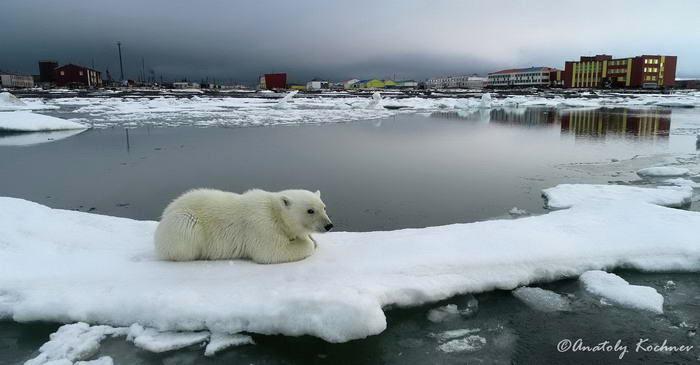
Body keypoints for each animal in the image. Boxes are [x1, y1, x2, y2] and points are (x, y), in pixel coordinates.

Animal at [155, 189, 334, 264]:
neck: (275, 211)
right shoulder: (262, 225)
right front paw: (308, 243)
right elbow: (272, 251)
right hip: (183, 224)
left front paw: (309, 238)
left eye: (324, 207)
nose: (329, 225)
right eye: (310, 210)